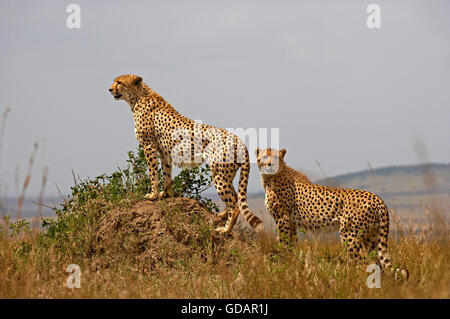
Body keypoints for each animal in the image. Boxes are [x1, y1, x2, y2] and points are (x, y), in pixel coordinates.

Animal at [109, 75, 264, 235]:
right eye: (115, 81)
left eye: (119, 82)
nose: (110, 89)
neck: (138, 97)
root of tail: (240, 141)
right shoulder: (164, 152)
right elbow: (166, 173)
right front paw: (166, 194)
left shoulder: (148, 146)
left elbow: (153, 173)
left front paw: (153, 195)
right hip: (225, 174)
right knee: (234, 198)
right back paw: (220, 216)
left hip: (219, 175)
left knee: (235, 206)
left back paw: (225, 229)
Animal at [256, 148, 408, 278]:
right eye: (264, 157)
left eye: (276, 157)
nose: (269, 164)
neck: (272, 176)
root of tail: (376, 197)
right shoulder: (291, 222)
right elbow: (291, 243)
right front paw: (291, 262)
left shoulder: (282, 219)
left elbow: (284, 242)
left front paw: (283, 262)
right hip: (372, 236)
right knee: (377, 263)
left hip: (349, 235)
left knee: (363, 262)